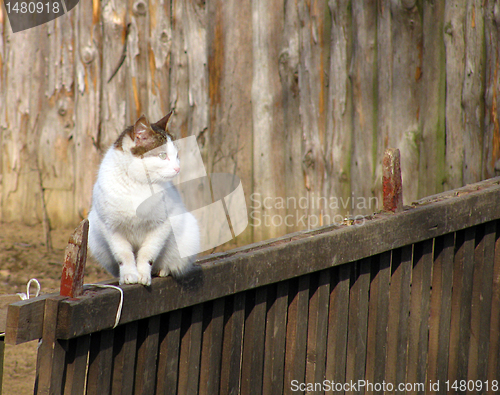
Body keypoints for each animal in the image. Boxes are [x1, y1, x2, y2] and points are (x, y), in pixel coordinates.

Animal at [88, 113, 199, 286]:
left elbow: (148, 253)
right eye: (162, 155)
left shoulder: (161, 225)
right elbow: (124, 254)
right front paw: (128, 275)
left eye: (177, 156)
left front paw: (143, 275)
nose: (178, 168)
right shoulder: (110, 227)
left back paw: (163, 270)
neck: (137, 184)